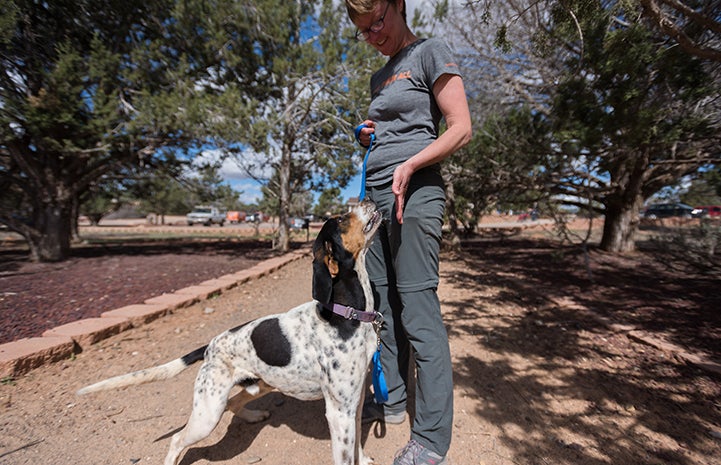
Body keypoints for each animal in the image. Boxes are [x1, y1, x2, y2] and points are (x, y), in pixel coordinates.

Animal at [76, 200, 382, 464]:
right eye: (341, 219)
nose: (368, 197)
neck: (348, 315)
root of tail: (210, 346)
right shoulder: (338, 411)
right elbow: (345, 456)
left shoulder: (354, 402)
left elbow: (357, 440)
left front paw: (364, 458)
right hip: (207, 413)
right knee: (177, 440)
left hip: (257, 385)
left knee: (233, 403)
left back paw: (254, 416)